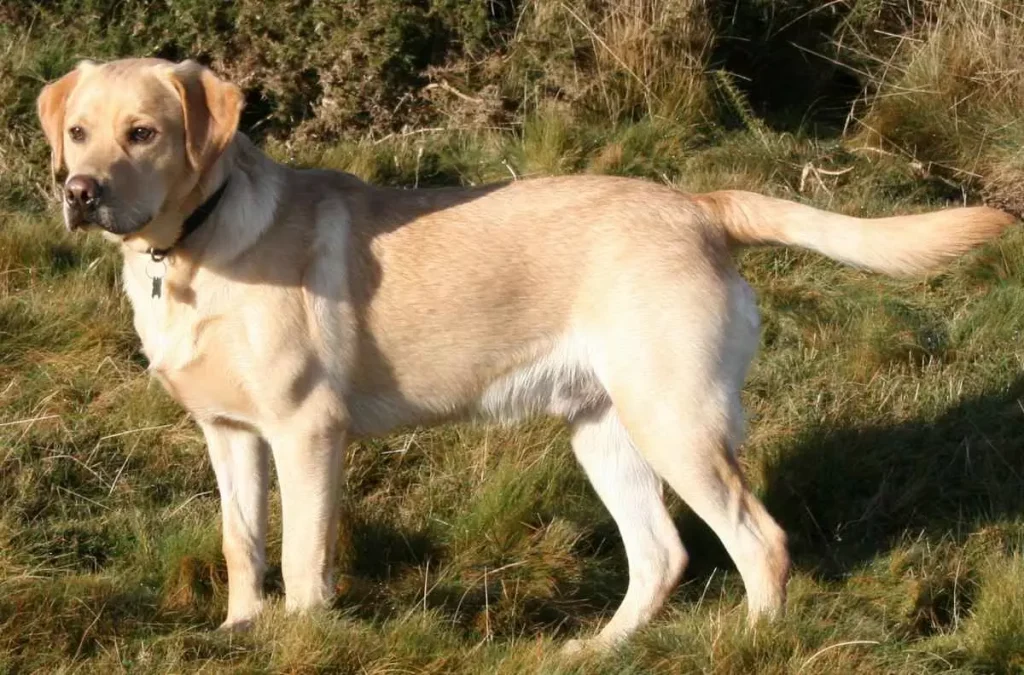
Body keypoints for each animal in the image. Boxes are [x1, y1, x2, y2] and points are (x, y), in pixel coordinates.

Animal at [36, 59, 1011, 655]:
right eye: (78, 132)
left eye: (144, 133)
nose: (77, 192)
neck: (189, 251)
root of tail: (698, 205)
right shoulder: (230, 433)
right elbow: (242, 544)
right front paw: (242, 631)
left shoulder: (309, 432)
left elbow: (307, 559)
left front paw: (301, 640)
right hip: (605, 431)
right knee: (661, 553)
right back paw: (601, 648)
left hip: (676, 421)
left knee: (758, 542)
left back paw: (751, 644)